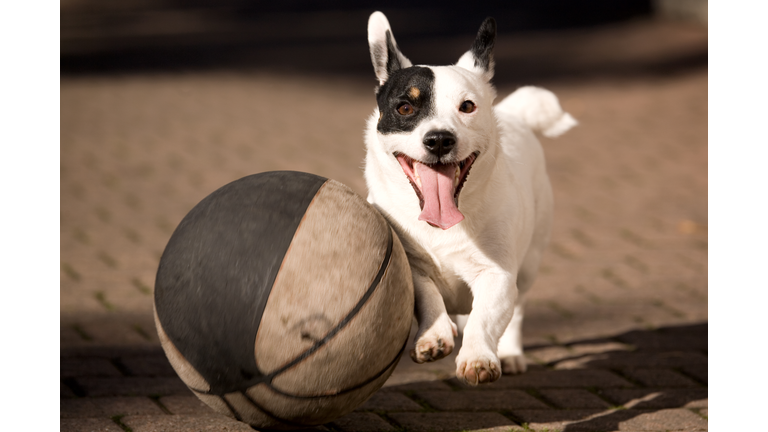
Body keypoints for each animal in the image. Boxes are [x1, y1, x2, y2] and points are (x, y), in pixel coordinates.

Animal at [364, 12, 572, 384]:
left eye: (467, 107)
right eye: (405, 107)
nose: (439, 139)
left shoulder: (498, 275)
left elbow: (485, 316)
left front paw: (479, 356)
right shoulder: (412, 266)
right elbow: (428, 296)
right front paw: (434, 335)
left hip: (529, 264)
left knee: (517, 310)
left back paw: (510, 353)